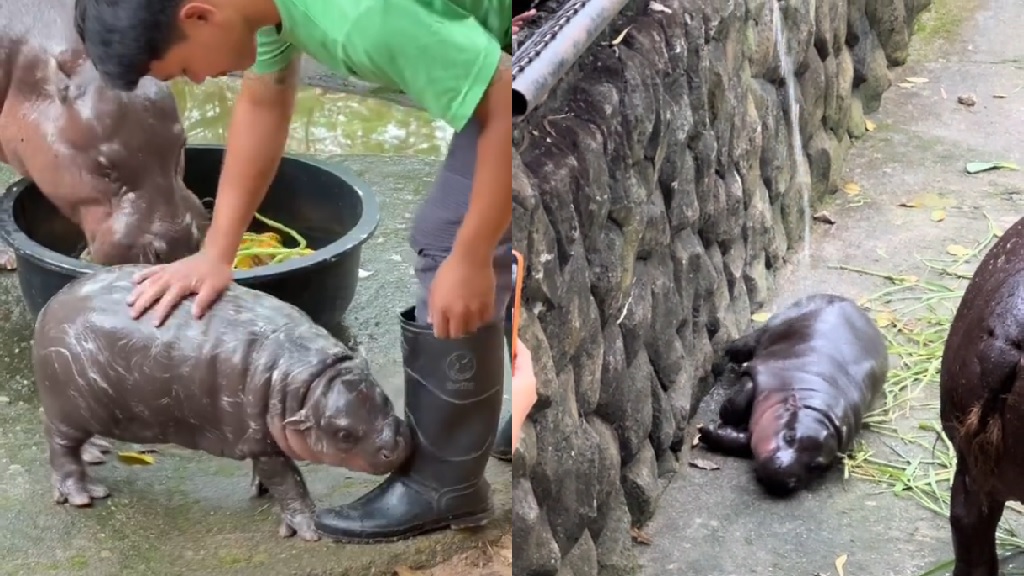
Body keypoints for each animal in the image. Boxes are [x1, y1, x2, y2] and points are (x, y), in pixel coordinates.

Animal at [32, 265, 412, 541]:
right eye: (343, 434)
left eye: (384, 397)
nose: (396, 444)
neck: (308, 385)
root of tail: (49, 307)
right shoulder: (262, 441)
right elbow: (288, 480)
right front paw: (308, 529)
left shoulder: (263, 437)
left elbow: (272, 473)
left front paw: (261, 490)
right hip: (66, 412)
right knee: (61, 451)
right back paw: (84, 495)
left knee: (77, 443)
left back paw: (96, 451)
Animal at [697, 293, 888, 496]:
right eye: (790, 436)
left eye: (817, 466)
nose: (782, 476)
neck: (811, 405)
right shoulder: (762, 374)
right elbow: (737, 402)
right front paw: (718, 421)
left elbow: (747, 441)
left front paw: (711, 432)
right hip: (776, 322)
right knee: (749, 342)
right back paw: (731, 351)